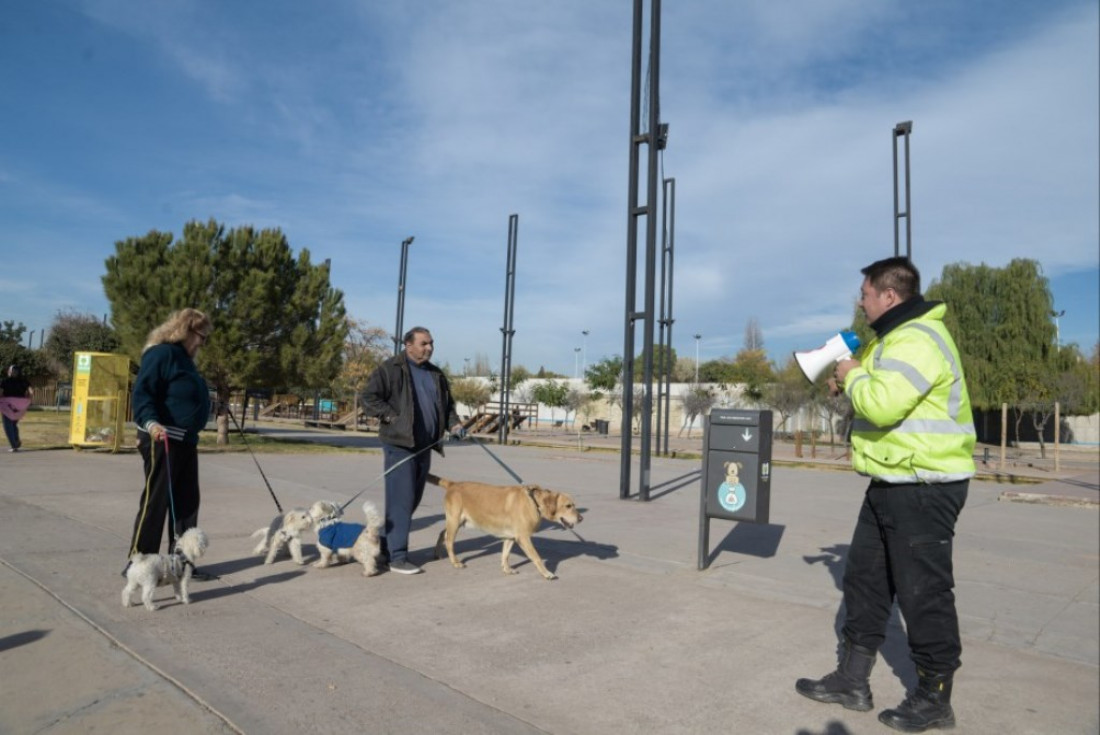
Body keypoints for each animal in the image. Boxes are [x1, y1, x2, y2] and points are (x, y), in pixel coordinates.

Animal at [426, 470, 585, 580]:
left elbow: (505, 555)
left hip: (456, 521)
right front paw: (547, 573)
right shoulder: (524, 538)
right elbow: (536, 557)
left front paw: (507, 569)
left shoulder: (510, 537)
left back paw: (437, 553)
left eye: (574, 505)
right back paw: (455, 562)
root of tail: (453, 484)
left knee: (442, 533)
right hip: (455, 521)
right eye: (568, 506)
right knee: (449, 541)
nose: (581, 518)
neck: (534, 502)